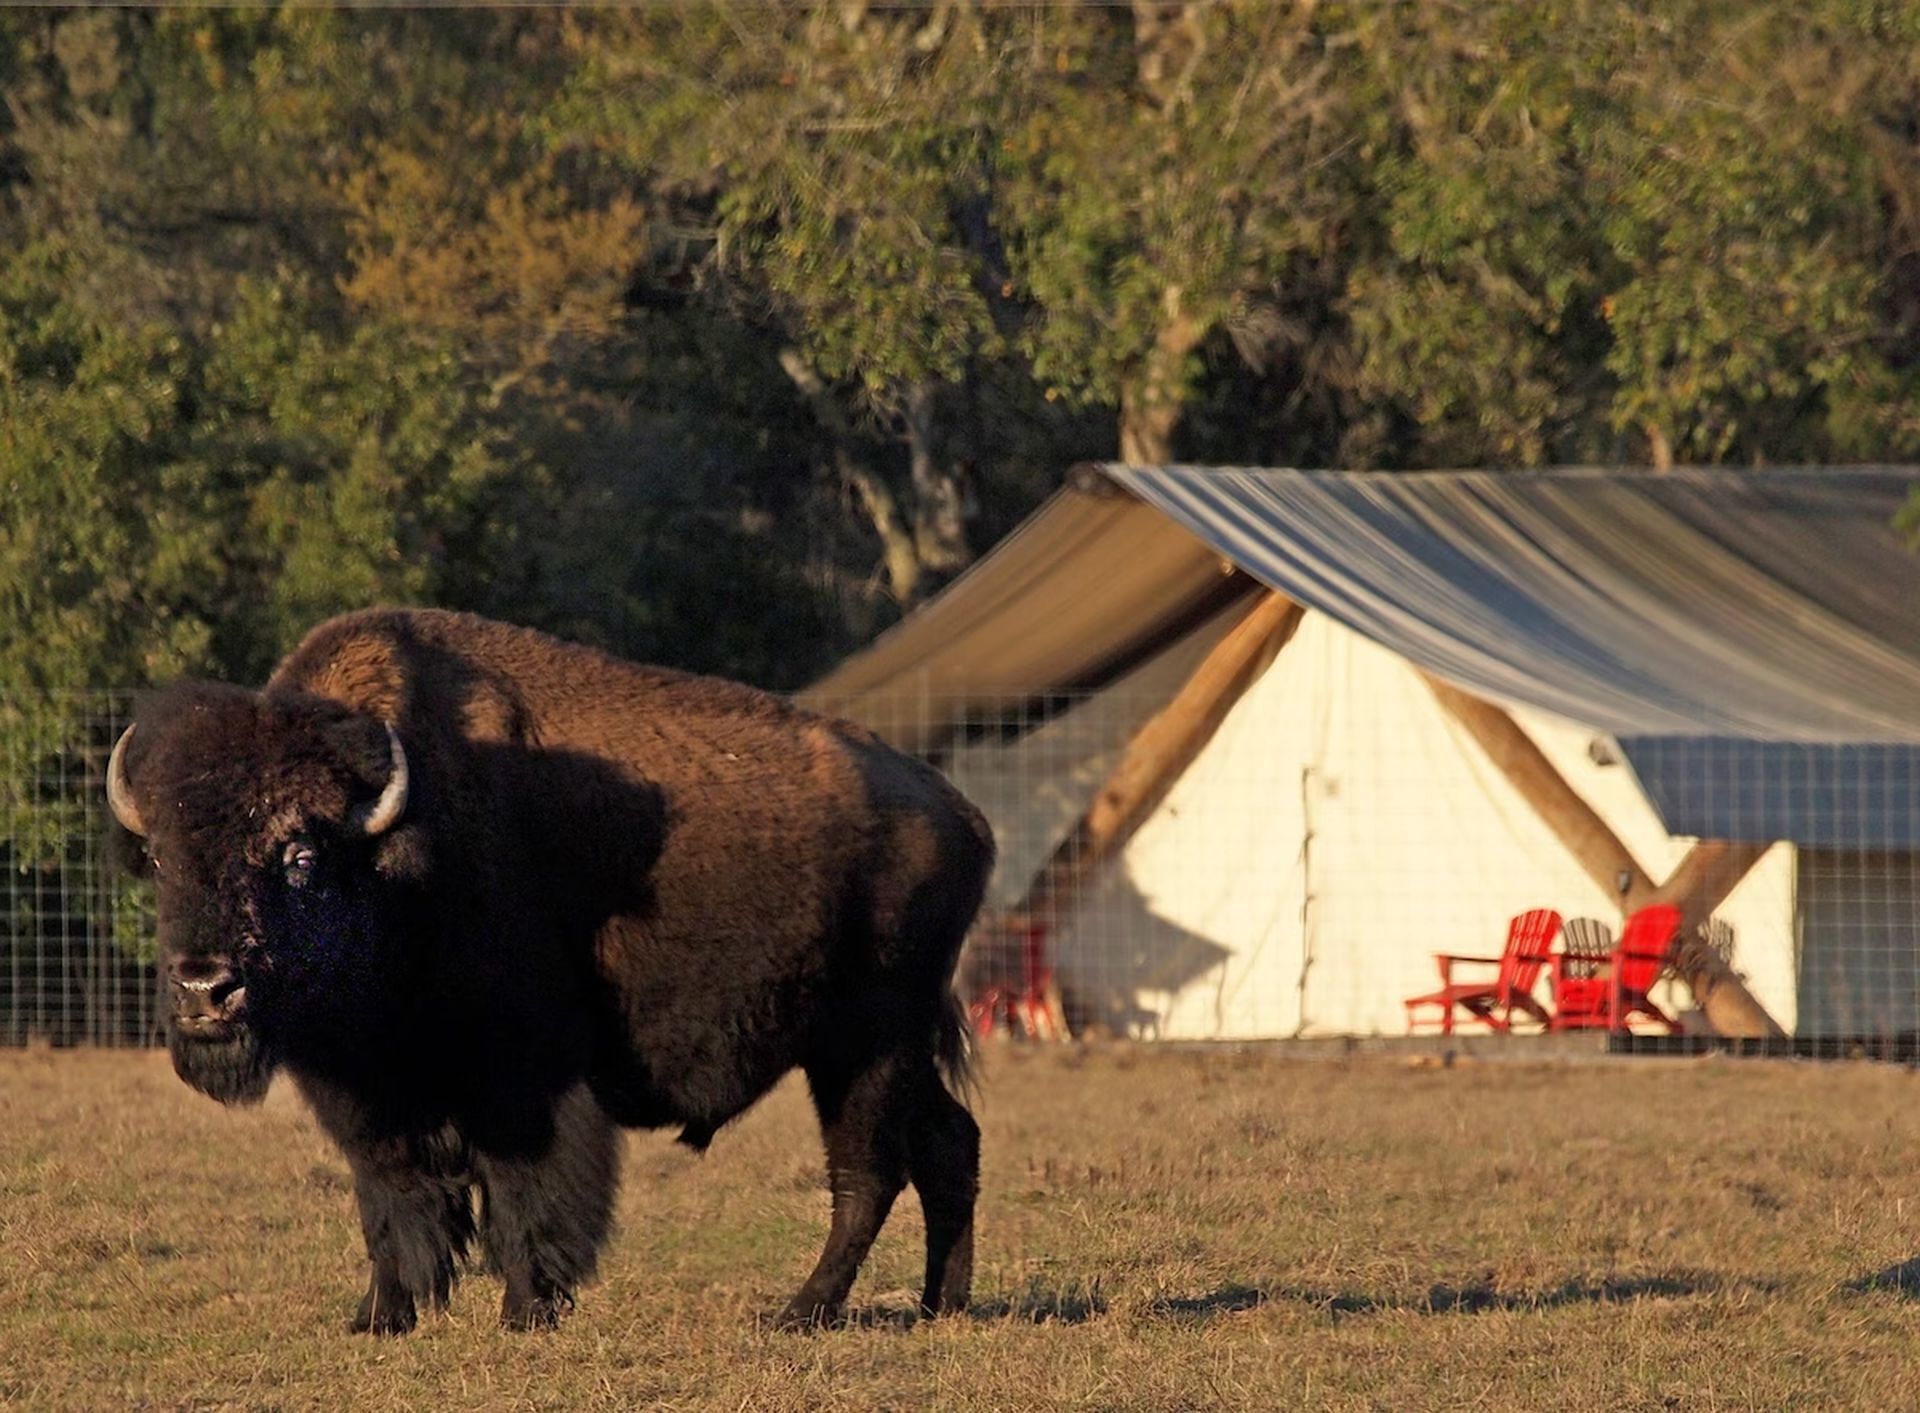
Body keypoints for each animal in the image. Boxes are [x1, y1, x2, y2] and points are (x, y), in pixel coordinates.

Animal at [106, 608, 993, 1334]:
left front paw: (526, 1309)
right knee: (948, 1141)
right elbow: (392, 1202)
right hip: (887, 1047)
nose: (205, 989)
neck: (397, 851)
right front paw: (380, 1315)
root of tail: (961, 812)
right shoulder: (369, 1094)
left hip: (865, 1043)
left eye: (298, 855)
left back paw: (800, 1311)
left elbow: (523, 1195)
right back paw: (939, 1303)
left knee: (868, 1173)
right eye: (162, 857)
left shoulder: (524, 1081)